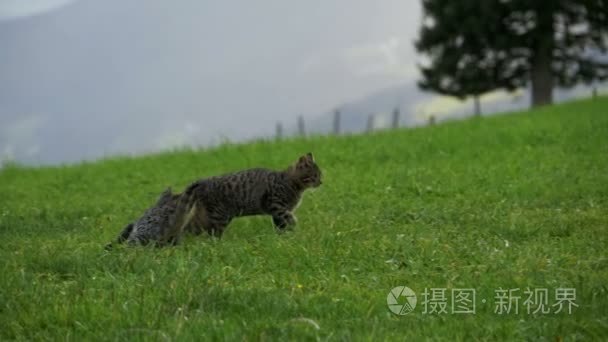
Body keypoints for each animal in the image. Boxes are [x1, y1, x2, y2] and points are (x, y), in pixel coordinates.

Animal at [185, 153, 324, 238]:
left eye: (320, 175)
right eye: (315, 175)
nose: (321, 182)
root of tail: (203, 181)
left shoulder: (277, 213)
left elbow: (280, 227)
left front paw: (283, 237)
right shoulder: (277, 206)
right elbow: (289, 218)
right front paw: (294, 229)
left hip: (205, 216)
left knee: (190, 228)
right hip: (219, 216)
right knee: (211, 234)